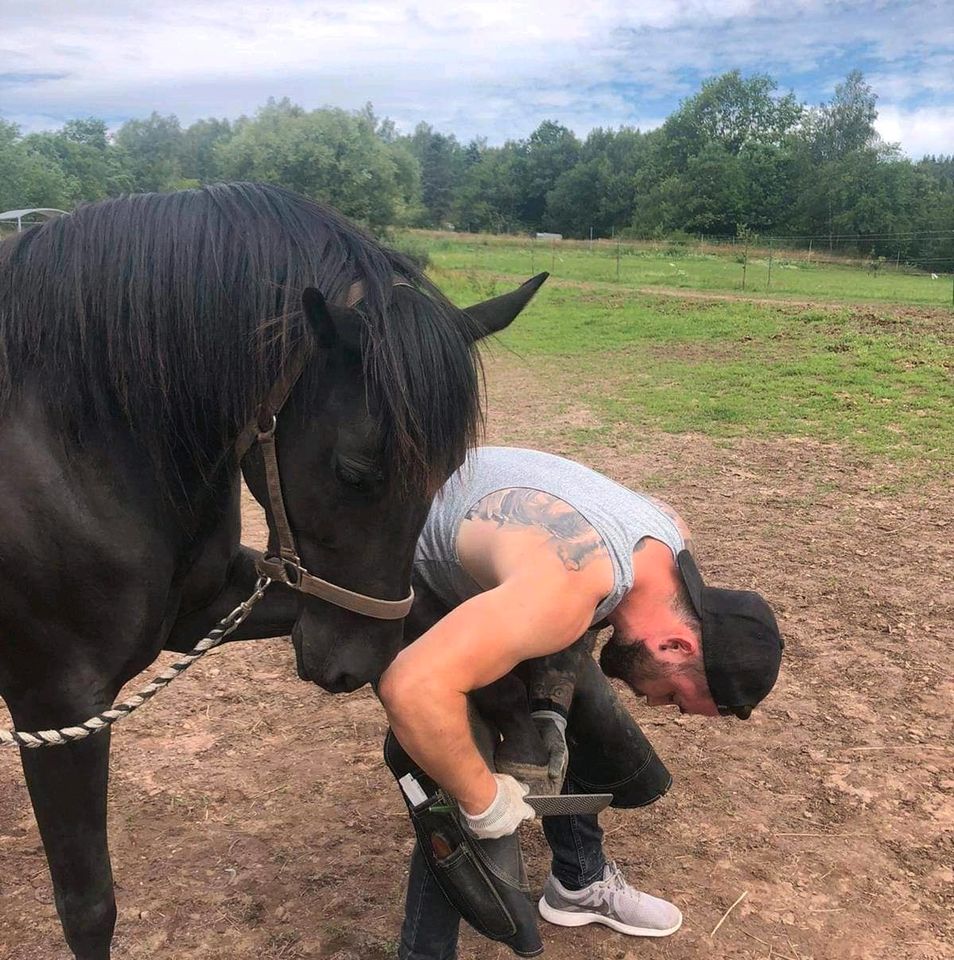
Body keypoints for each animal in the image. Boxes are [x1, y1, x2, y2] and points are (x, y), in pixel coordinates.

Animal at [0, 182, 544, 960]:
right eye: (355, 469)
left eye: (447, 472)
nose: (348, 667)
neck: (76, 445)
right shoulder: (59, 705)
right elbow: (88, 907)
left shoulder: (211, 606)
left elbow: (423, 619)